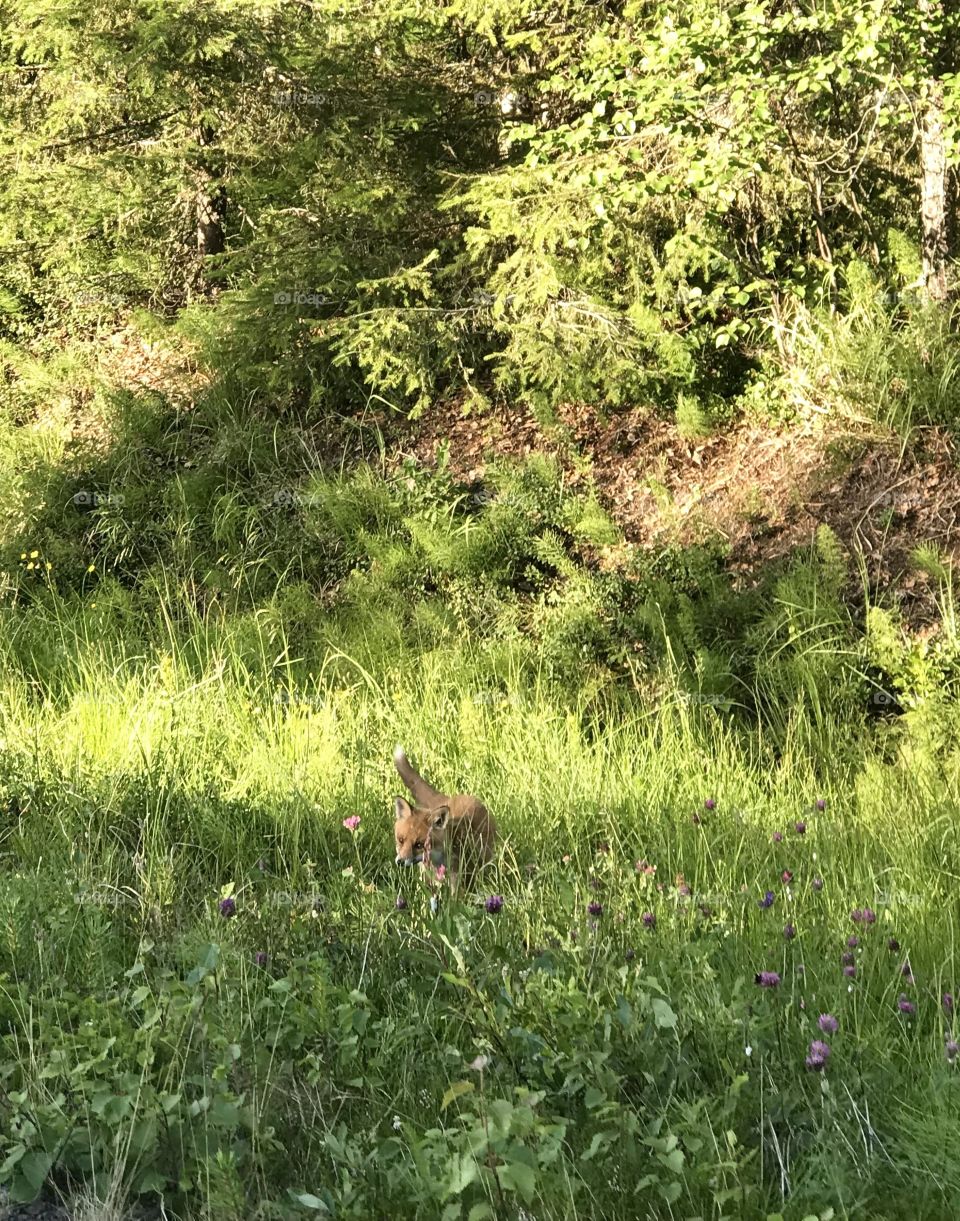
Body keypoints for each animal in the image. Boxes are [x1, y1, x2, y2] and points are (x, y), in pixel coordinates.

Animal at [392, 745, 495, 888]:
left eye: (419, 845)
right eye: (401, 840)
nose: (400, 861)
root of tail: (450, 798)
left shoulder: (457, 877)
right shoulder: (428, 877)